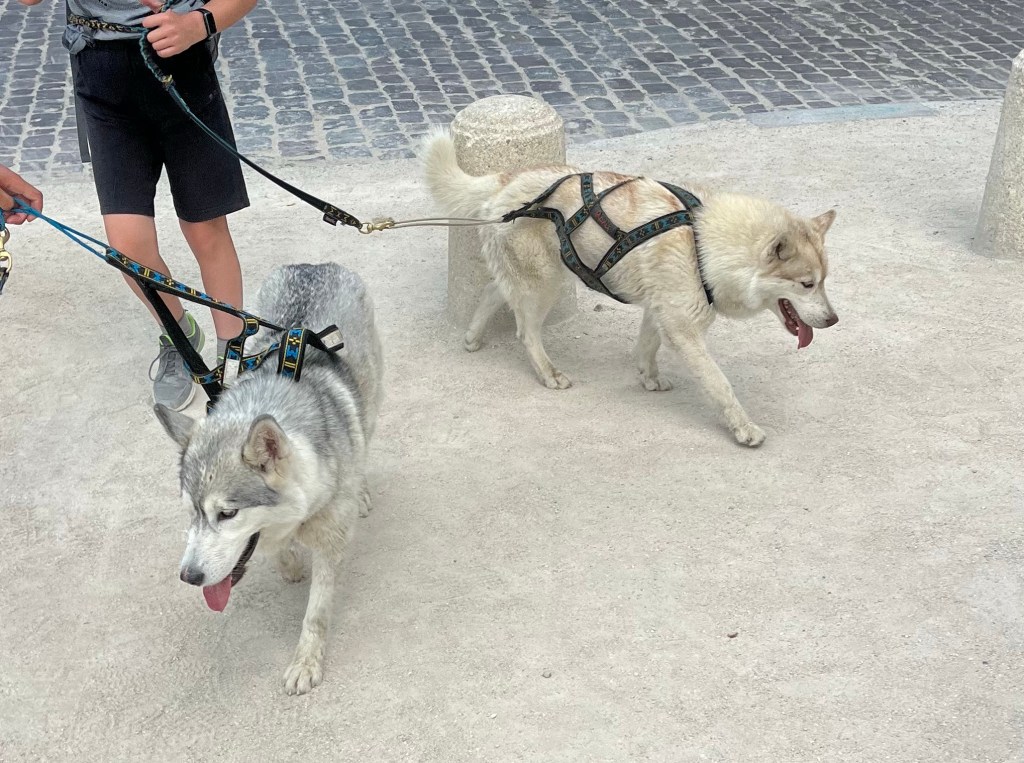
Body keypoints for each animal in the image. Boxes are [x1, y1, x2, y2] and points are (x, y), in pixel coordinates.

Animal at [155, 263, 383, 694]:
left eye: (227, 514)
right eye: (191, 513)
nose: (189, 577)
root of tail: (315, 265)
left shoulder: (330, 540)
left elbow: (316, 613)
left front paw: (306, 662)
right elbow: (277, 549)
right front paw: (289, 563)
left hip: (371, 397)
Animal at [423, 131, 838, 447]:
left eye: (824, 281)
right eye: (806, 284)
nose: (833, 320)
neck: (702, 242)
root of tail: (506, 177)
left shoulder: (660, 309)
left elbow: (647, 347)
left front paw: (648, 376)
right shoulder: (684, 330)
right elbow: (720, 385)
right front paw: (743, 428)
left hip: (538, 275)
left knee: (494, 292)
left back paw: (473, 337)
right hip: (545, 283)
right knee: (525, 330)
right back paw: (547, 371)